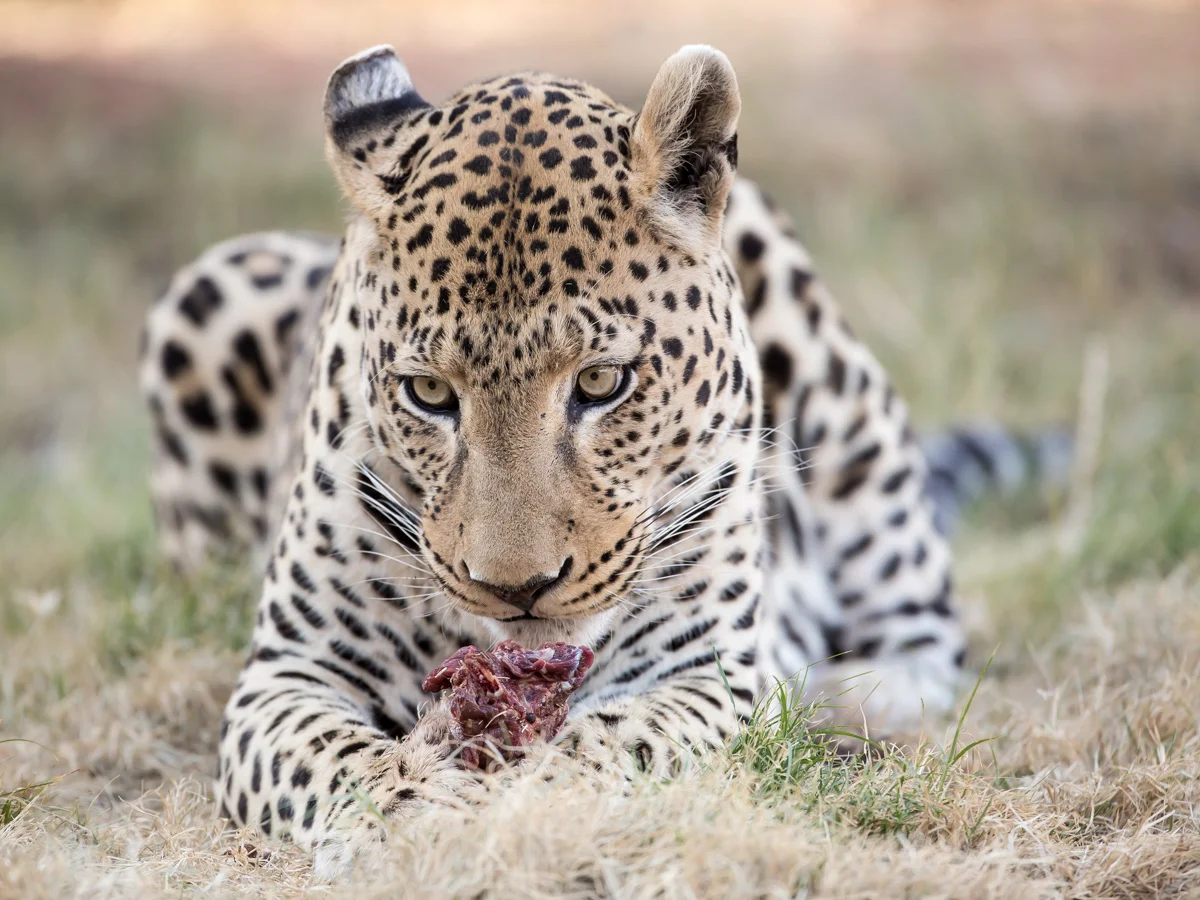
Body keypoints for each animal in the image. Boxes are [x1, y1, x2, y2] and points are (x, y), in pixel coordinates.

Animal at [138, 44, 1071, 876]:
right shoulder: (286, 676)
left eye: (600, 382)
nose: (517, 588)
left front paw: (535, 804)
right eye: (430, 394)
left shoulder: (708, 674)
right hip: (210, 290)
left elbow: (624, 740)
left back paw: (839, 697)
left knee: (922, 643)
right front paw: (411, 816)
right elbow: (331, 757)